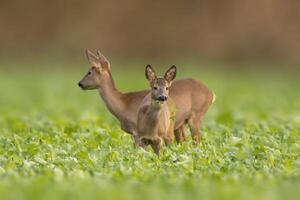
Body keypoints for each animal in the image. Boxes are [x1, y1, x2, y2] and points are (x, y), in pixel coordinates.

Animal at [76, 49, 214, 145]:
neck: (123, 104)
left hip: (195, 117)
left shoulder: (138, 132)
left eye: (89, 72)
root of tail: (211, 93)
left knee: (198, 143)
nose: (80, 83)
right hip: (180, 124)